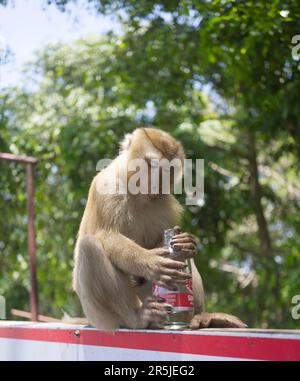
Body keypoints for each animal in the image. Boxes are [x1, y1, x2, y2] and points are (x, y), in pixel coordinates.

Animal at [73, 127, 246, 330]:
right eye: (151, 164)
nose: (157, 181)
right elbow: (107, 235)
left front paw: (186, 242)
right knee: (89, 247)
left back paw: (200, 316)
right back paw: (137, 317)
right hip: (100, 316)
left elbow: (165, 241)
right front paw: (151, 262)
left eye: (168, 169)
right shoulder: (107, 187)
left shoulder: (165, 204)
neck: (138, 195)